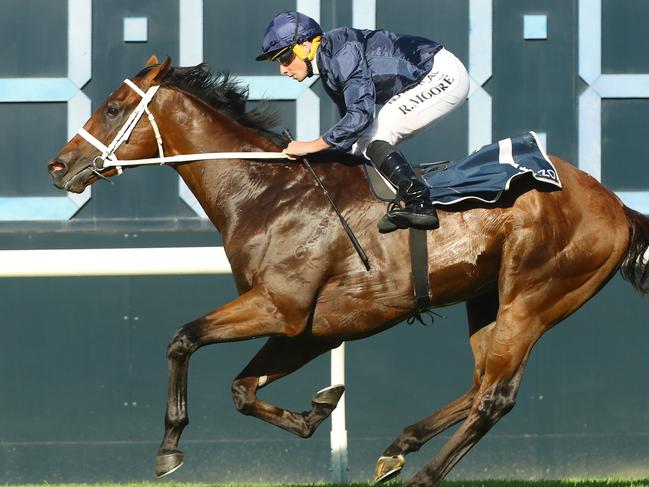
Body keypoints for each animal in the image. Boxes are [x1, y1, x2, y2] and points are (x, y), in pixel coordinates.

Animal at [46, 55, 648, 486]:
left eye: (114, 107)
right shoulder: (311, 329)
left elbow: (182, 339)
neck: (266, 193)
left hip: (533, 298)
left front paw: (169, 447)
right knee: (480, 386)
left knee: (496, 397)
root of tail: (615, 204)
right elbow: (243, 390)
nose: (59, 165)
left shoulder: (280, 308)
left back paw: (422, 475)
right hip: (488, 300)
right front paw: (317, 408)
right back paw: (398, 448)